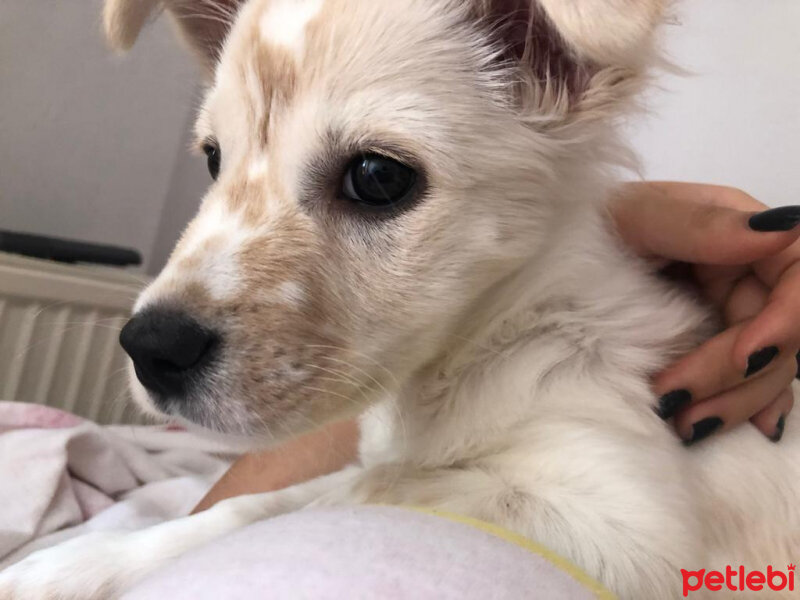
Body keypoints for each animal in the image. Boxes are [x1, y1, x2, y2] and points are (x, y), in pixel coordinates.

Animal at [1, 0, 800, 596]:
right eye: (212, 160)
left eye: (378, 177)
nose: (149, 350)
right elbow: (262, 501)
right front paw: (70, 567)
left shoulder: (627, 529)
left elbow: (349, 495)